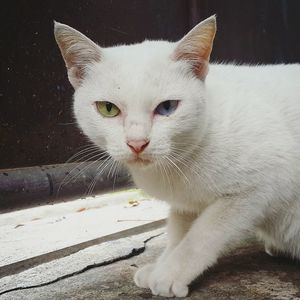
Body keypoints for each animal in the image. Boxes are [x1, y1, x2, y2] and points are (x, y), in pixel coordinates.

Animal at [55, 16, 300, 298]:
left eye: (167, 107)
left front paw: (170, 274)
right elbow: (178, 231)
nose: (137, 143)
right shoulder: (186, 204)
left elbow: (202, 234)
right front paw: (161, 264)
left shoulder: (258, 186)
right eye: (108, 109)